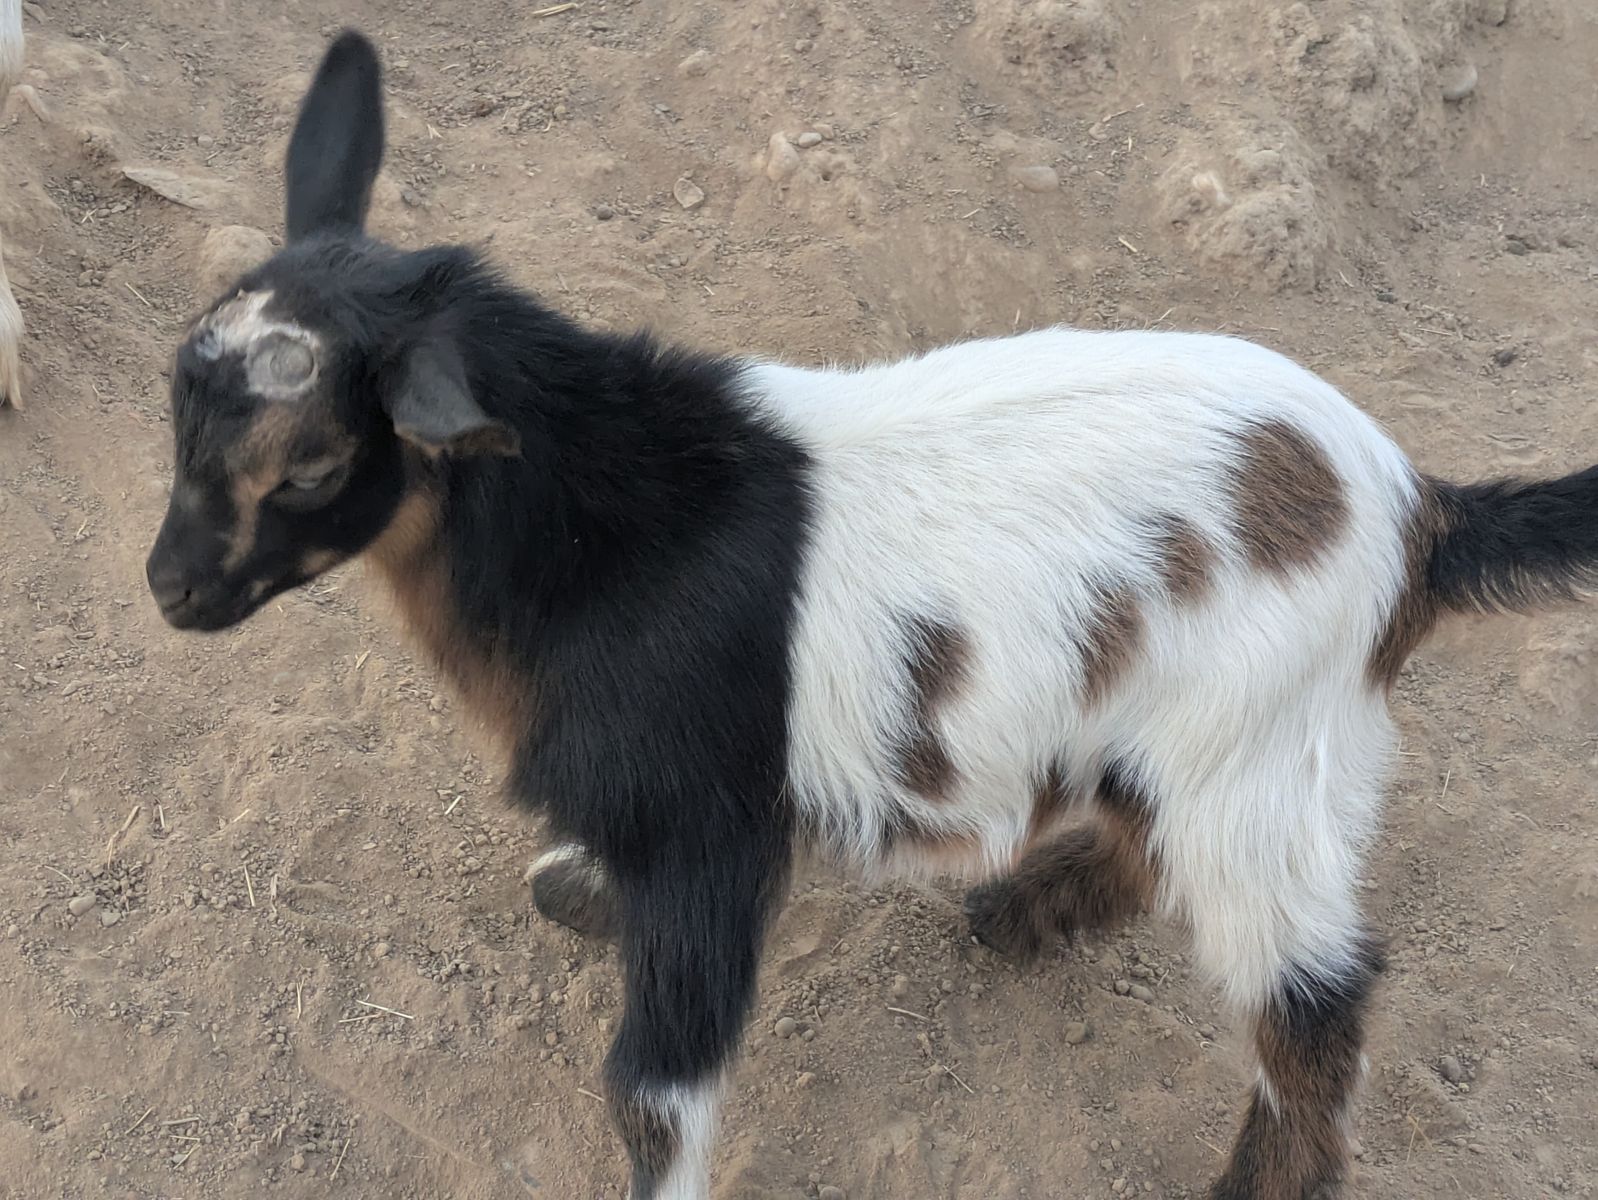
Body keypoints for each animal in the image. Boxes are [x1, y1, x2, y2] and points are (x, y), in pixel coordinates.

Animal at [145, 30, 1598, 1200]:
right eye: (174, 404)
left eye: (313, 466)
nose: (172, 591)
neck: (619, 527)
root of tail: (1416, 510)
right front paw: (577, 889)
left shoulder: (705, 825)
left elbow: (650, 1095)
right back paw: (1017, 913)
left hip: (1260, 750)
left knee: (1311, 1001)